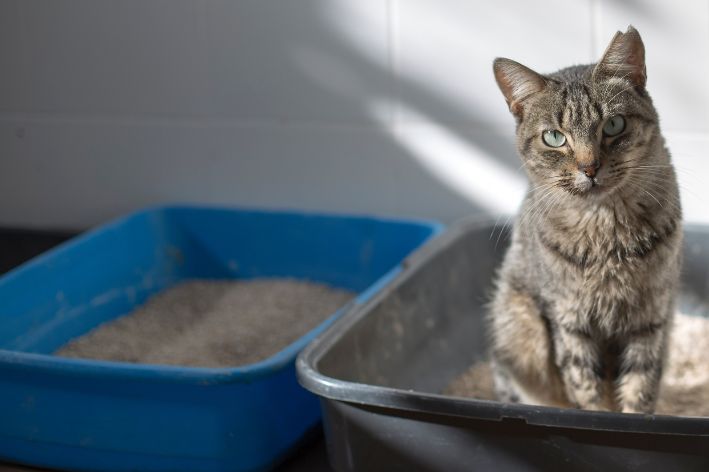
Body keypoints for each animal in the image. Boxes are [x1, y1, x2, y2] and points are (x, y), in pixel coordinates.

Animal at [486, 25, 680, 412]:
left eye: (614, 124)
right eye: (554, 137)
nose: (589, 167)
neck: (606, 230)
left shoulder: (650, 319)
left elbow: (640, 386)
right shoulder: (569, 321)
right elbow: (586, 389)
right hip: (516, 327)